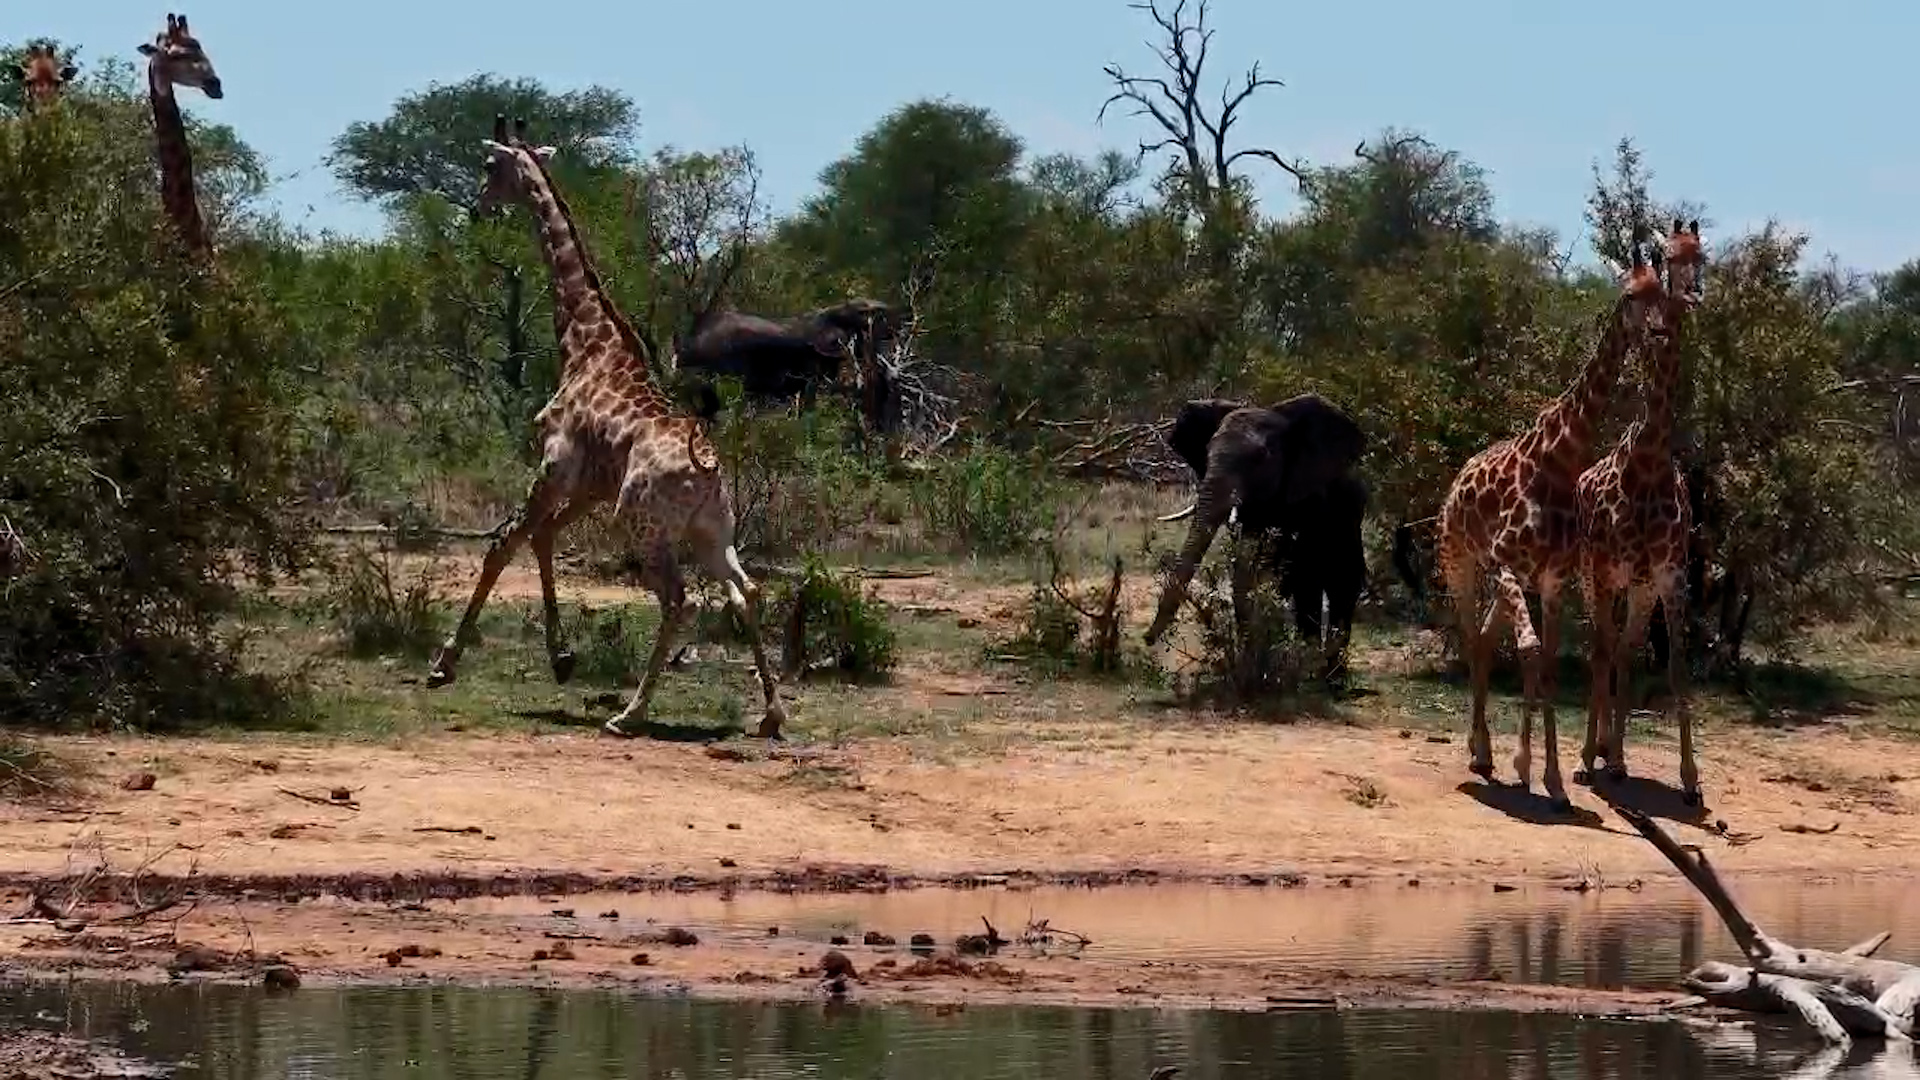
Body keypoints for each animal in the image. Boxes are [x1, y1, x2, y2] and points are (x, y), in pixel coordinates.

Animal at [427, 116, 787, 740]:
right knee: (745, 592)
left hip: (640, 522)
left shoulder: (556, 464)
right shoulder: (590, 483)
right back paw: (770, 713)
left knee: (681, 601)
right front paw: (561, 658)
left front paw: (445, 663)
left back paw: (630, 713)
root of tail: (708, 470)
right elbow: (539, 536)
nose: (477, 206)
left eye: (490, 166)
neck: (583, 340)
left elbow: (503, 542)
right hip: (711, 531)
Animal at [1146, 395, 1370, 685]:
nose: (1147, 639)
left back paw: (1330, 678)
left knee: (1337, 586)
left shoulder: (1312, 501)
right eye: (1207, 452)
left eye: (1261, 458)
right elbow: (1248, 570)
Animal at [1436, 235, 1672, 809]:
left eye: (1662, 293)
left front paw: (1551, 778)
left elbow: (1542, 659)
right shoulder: (1507, 564)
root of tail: (1459, 477)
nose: (1658, 333)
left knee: (1482, 638)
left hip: (1508, 580)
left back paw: (1484, 754)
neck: (1562, 456)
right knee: (1472, 635)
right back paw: (1481, 753)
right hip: (1461, 560)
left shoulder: (1552, 578)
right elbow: (1529, 651)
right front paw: (1539, 771)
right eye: (1631, 294)